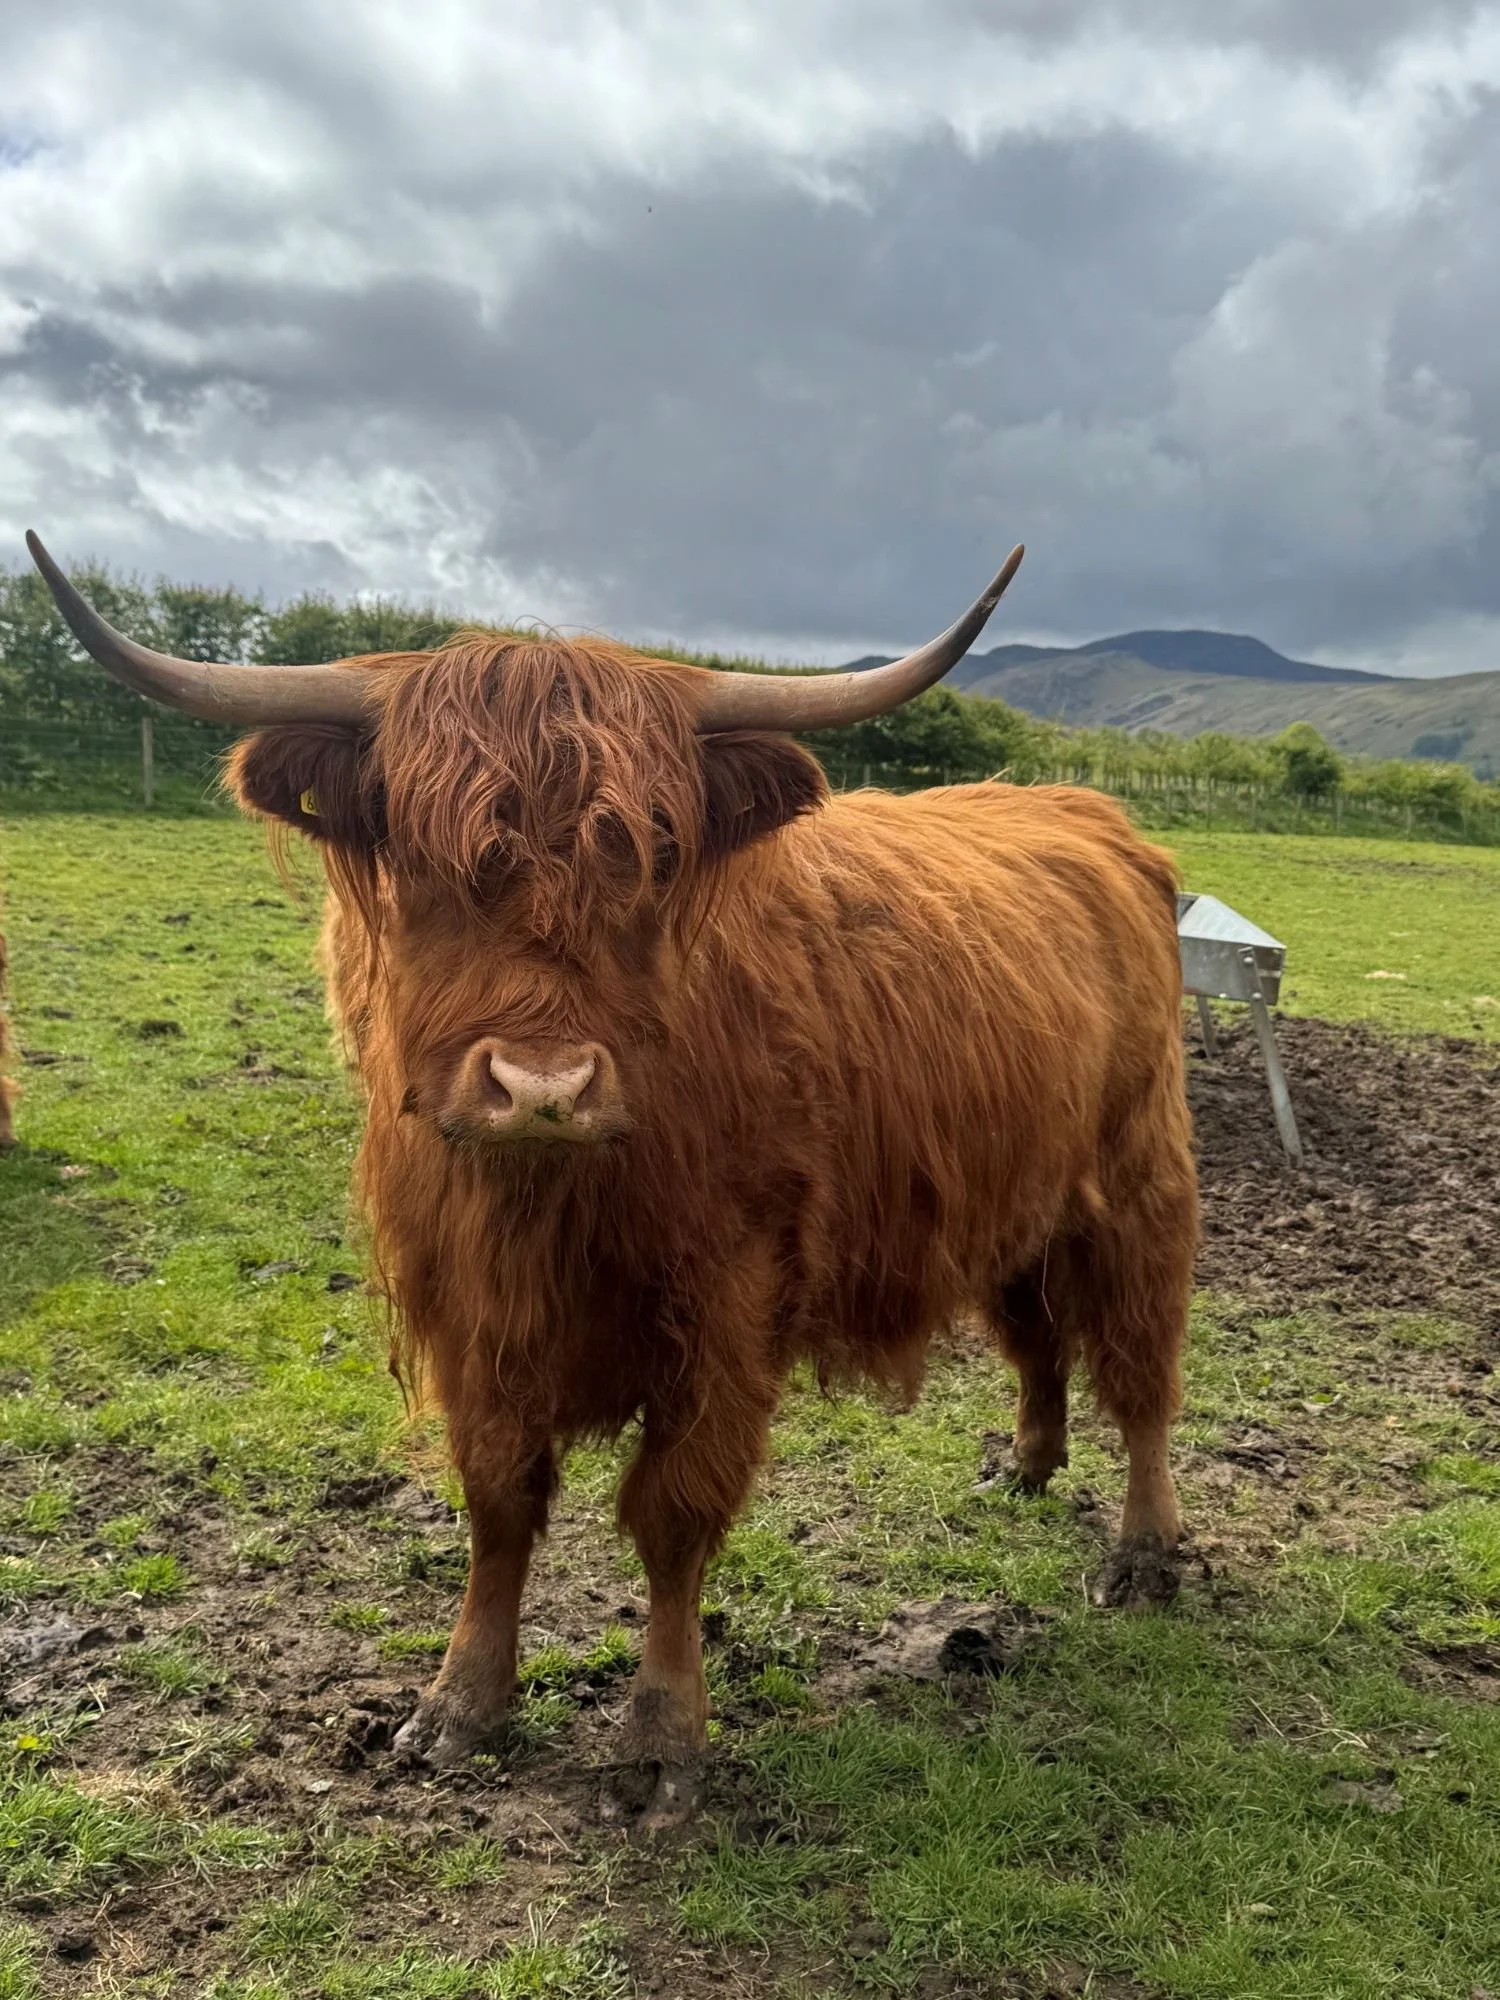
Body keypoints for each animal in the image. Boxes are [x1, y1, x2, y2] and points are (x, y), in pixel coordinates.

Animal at [28, 530, 1197, 1826]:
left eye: (653, 858)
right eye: (420, 858)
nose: (542, 1083)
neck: (546, 1208)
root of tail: (1078, 807)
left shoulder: (730, 1293)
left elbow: (673, 1511)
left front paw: (659, 1738)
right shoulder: (465, 1295)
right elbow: (497, 1494)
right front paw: (459, 1703)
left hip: (1138, 1173)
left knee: (1140, 1365)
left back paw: (1144, 1553)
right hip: (1019, 1189)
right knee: (1036, 1330)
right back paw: (1024, 1468)